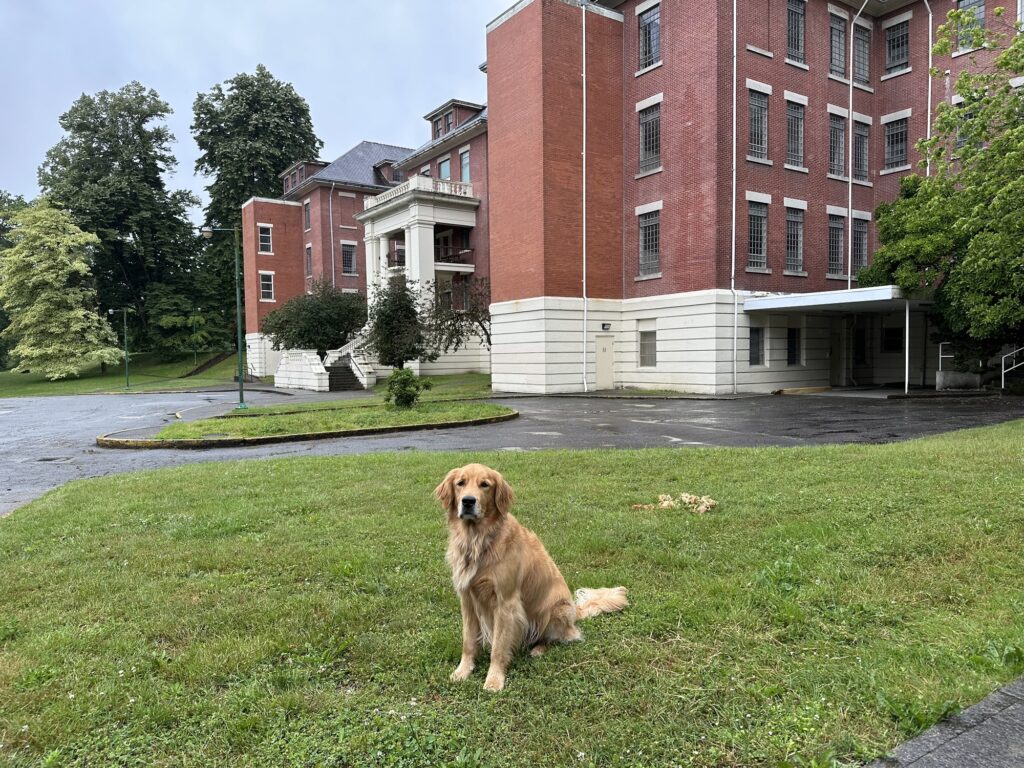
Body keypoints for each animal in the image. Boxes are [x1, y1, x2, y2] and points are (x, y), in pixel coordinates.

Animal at [432, 466, 622, 696]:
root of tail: (575, 612)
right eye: (460, 483)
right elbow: (468, 642)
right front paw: (463, 671)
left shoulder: (506, 603)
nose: (468, 501)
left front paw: (494, 680)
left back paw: (538, 648)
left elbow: (498, 648)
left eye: (485, 485)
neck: (478, 539)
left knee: (562, 637)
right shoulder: (468, 600)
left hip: (554, 610)